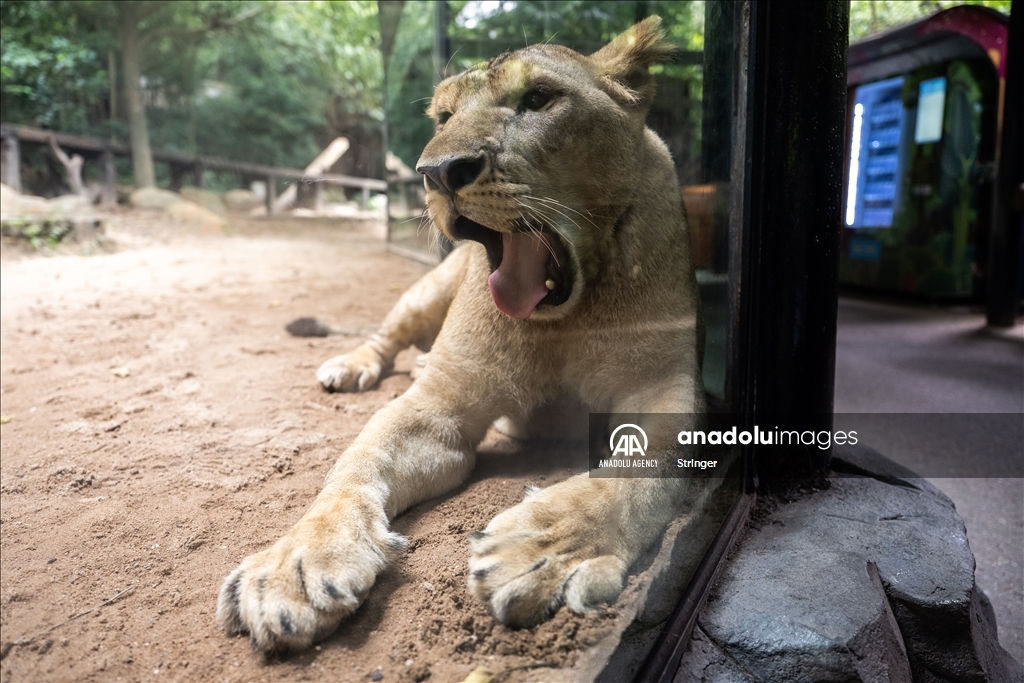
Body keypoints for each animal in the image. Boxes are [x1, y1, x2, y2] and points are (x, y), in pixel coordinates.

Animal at [216, 15, 704, 655]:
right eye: (444, 117)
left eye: (538, 99)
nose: (438, 172)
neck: (563, 316)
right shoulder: (441, 405)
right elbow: (354, 464)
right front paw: (296, 563)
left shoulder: (668, 387)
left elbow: (638, 466)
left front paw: (545, 548)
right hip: (427, 291)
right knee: (386, 337)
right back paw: (350, 365)